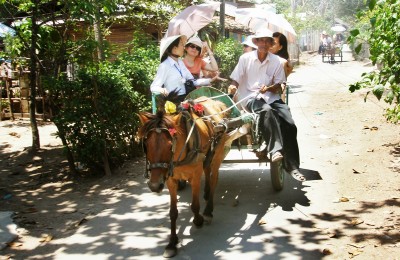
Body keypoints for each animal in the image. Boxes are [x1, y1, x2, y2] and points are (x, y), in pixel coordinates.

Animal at [139, 97, 230, 258]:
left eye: (170, 145)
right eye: (146, 144)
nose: (155, 186)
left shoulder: (195, 176)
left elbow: (195, 205)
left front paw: (198, 220)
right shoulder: (170, 180)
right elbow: (173, 212)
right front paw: (172, 243)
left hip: (218, 154)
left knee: (213, 178)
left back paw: (208, 210)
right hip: (208, 155)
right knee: (207, 169)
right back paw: (206, 193)